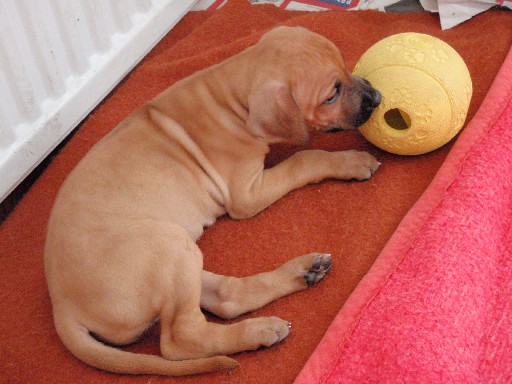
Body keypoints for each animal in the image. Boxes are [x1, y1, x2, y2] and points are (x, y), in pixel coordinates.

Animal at [43, 26, 380, 376]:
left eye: (345, 67)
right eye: (331, 95)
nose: (377, 98)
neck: (230, 96)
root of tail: (62, 308)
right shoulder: (246, 194)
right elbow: (304, 158)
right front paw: (351, 161)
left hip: (178, 260)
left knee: (226, 297)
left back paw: (300, 274)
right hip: (167, 245)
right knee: (180, 339)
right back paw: (256, 330)